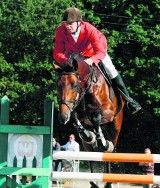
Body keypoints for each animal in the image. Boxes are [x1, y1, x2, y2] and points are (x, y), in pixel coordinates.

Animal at [53, 53, 124, 188]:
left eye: (74, 85)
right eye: (58, 85)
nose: (63, 116)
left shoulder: (108, 112)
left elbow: (96, 117)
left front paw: (102, 142)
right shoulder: (75, 111)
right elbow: (74, 118)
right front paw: (88, 135)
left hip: (115, 129)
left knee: (108, 152)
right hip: (87, 146)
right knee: (92, 153)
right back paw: (94, 182)